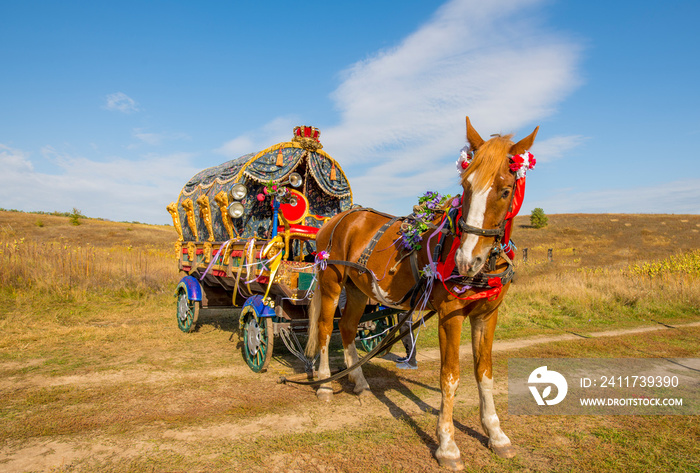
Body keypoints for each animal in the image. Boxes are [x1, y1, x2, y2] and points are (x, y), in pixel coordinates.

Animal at [304, 118, 540, 468]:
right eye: (466, 185)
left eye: (506, 190)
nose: (467, 260)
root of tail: (340, 217)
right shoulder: (450, 316)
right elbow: (450, 376)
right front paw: (448, 445)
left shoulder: (487, 315)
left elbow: (484, 372)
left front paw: (496, 434)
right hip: (331, 284)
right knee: (323, 329)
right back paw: (324, 385)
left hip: (358, 291)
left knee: (346, 328)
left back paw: (359, 382)